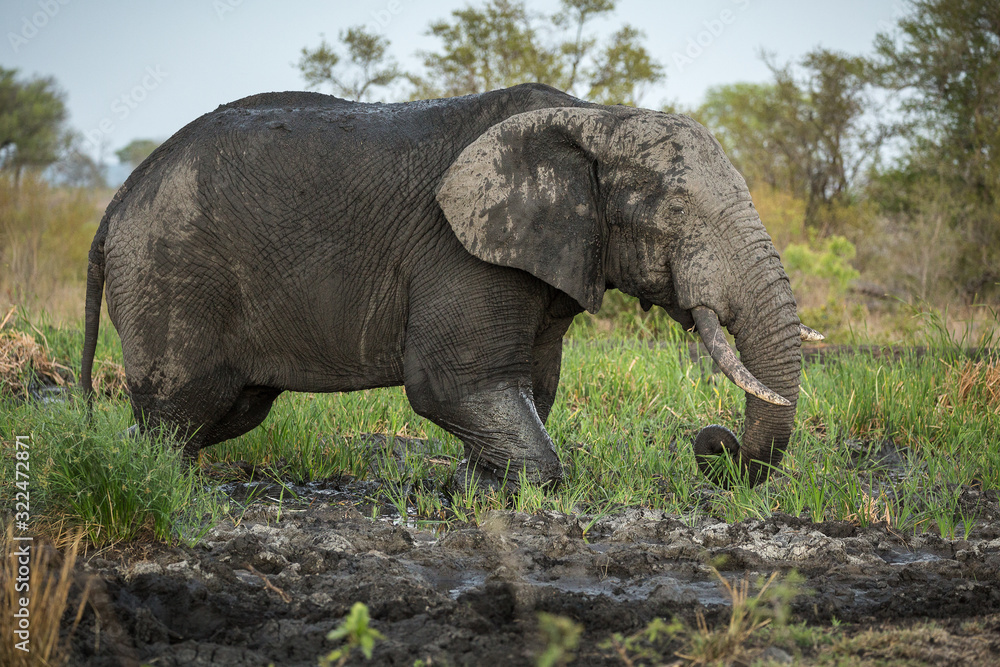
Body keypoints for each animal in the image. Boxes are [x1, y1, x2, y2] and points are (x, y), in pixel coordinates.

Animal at [80, 83, 821, 490]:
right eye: (673, 212)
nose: (712, 444)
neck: (594, 116)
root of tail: (114, 204)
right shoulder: (459, 251)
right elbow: (450, 383)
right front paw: (498, 489)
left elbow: (531, 384)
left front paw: (473, 488)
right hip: (171, 273)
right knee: (181, 409)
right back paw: (161, 485)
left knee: (226, 410)